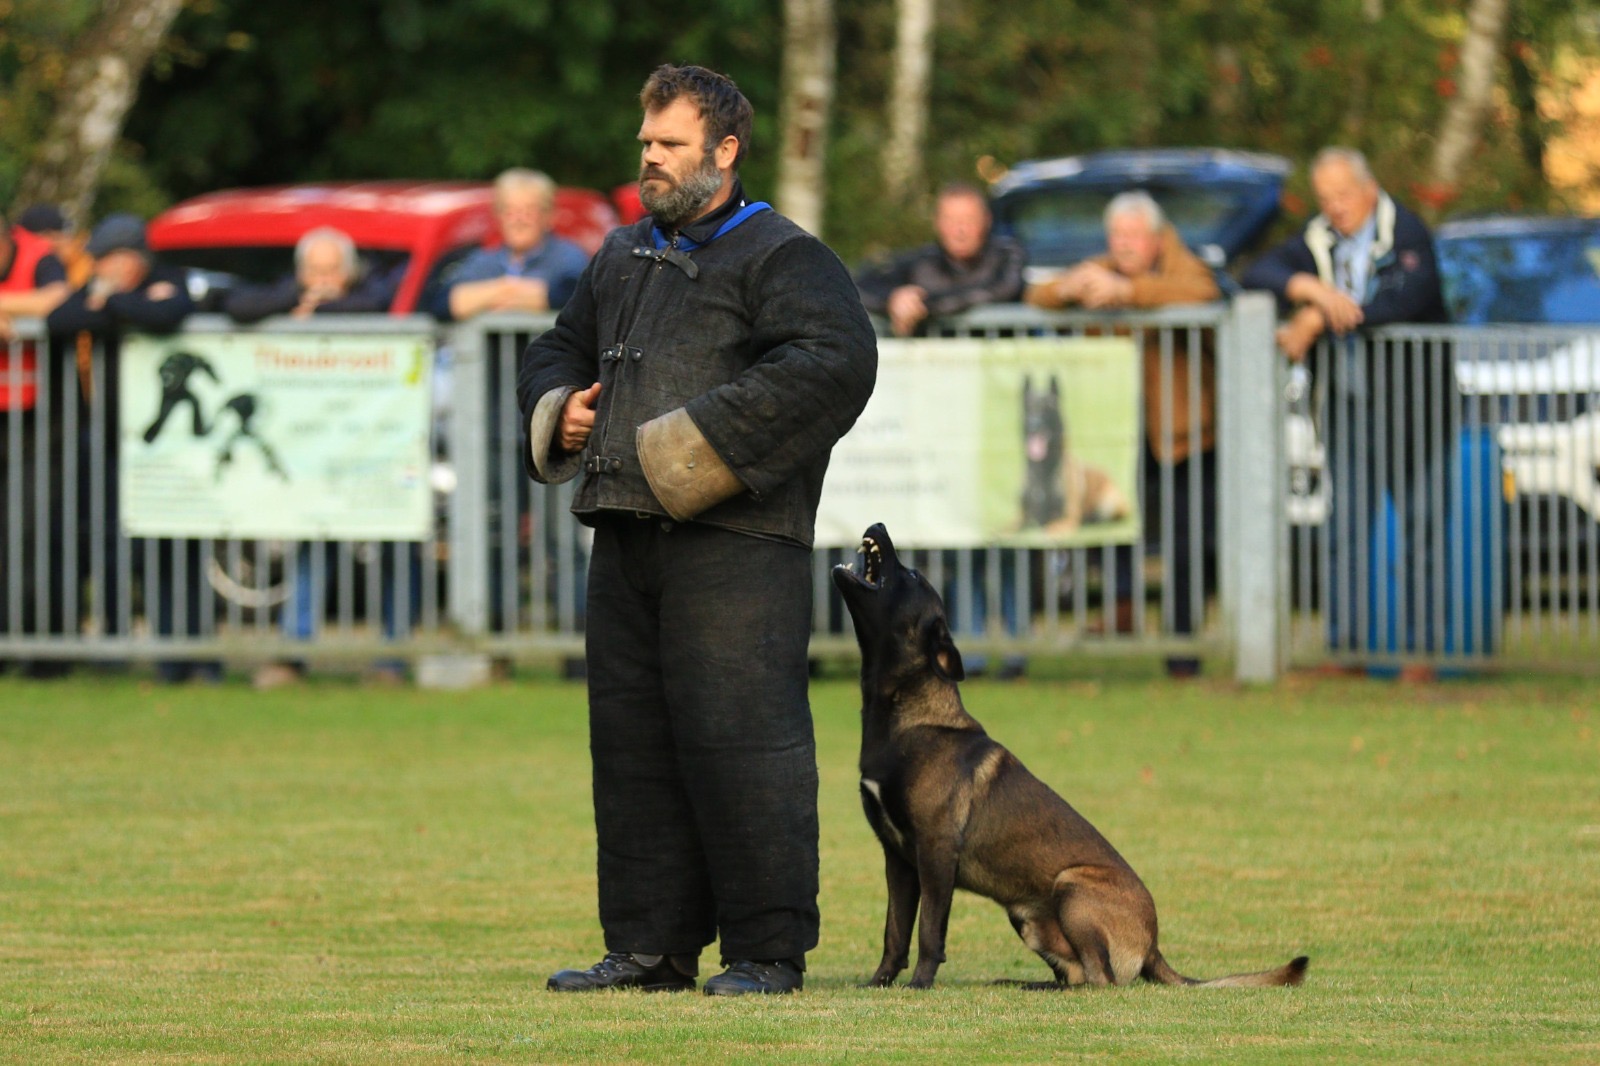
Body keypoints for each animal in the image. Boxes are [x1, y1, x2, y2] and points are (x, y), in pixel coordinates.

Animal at [832, 521, 1305, 985]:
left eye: (912, 575)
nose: (879, 524)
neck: (911, 716)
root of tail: (1152, 946)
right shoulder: (898, 860)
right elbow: (895, 931)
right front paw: (879, 982)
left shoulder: (935, 853)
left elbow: (930, 930)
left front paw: (920, 984)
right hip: (1027, 917)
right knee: (1075, 975)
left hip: (1070, 887)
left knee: (1102, 979)